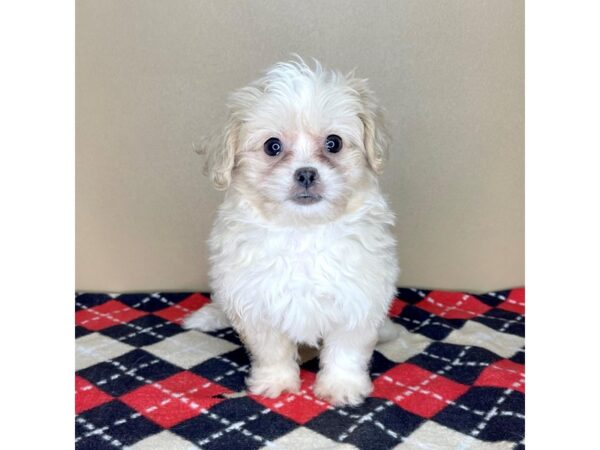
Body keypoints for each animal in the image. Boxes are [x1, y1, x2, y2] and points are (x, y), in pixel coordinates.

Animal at [183, 58, 398, 406]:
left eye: (334, 143)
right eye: (273, 147)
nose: (306, 173)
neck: (302, 231)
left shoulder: (357, 298)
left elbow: (346, 350)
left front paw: (342, 386)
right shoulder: (256, 302)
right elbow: (272, 351)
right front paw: (277, 382)